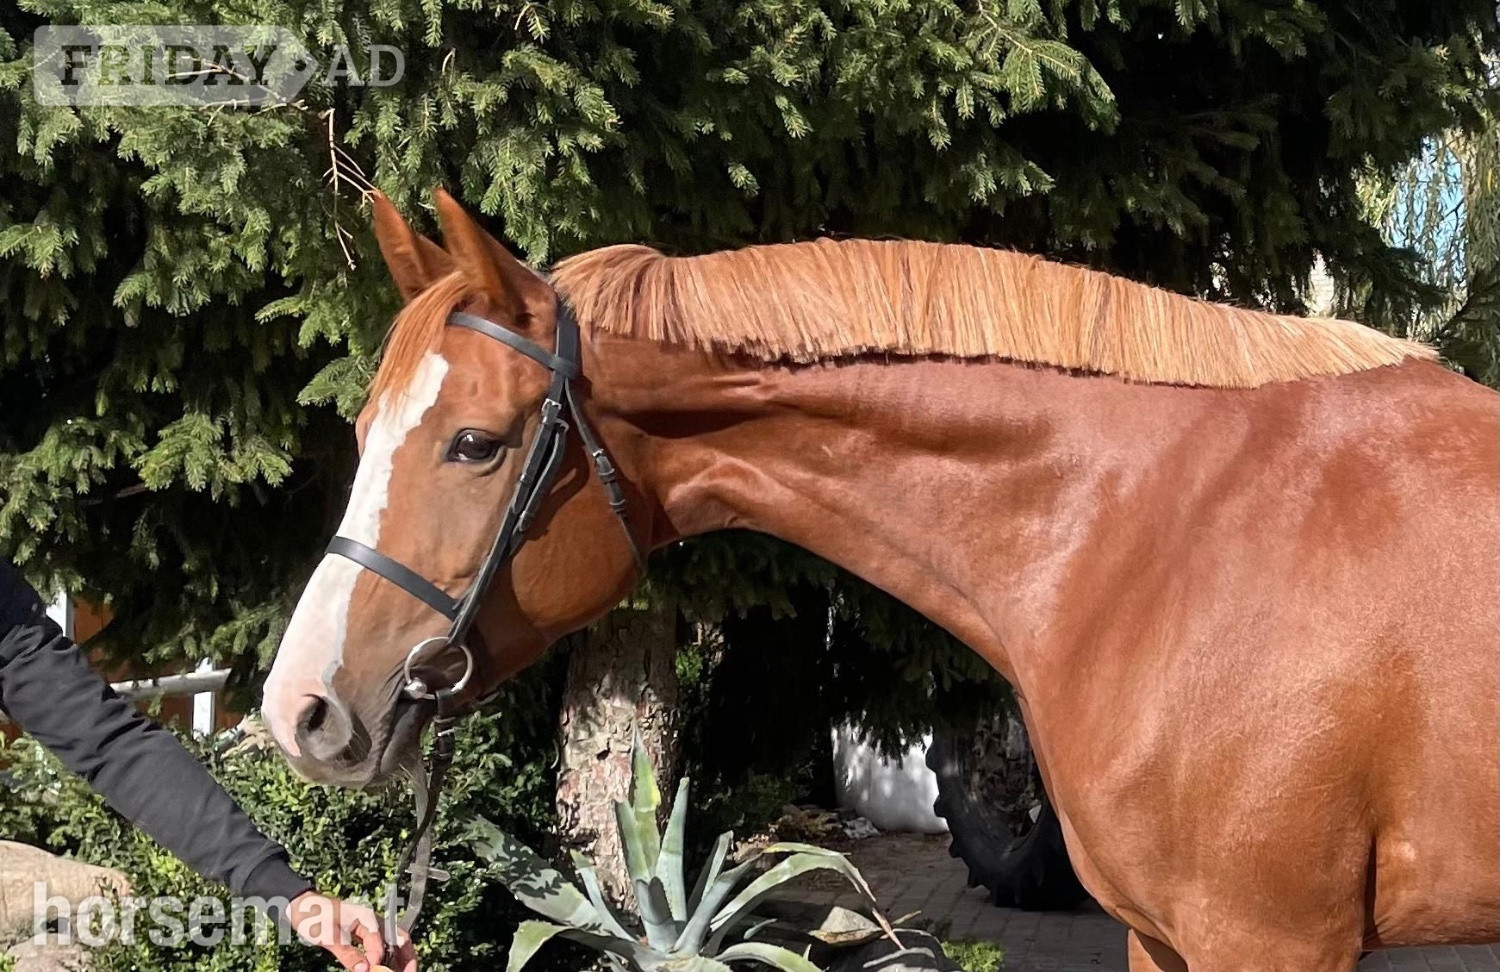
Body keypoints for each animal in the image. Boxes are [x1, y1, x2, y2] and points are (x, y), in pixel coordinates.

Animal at [262, 189, 1499, 971]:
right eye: (362, 430)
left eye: (473, 444)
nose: (299, 707)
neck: (1175, 525)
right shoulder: (1163, 935)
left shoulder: (1269, 939)